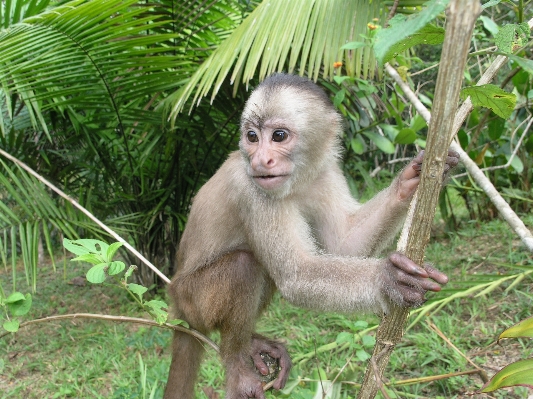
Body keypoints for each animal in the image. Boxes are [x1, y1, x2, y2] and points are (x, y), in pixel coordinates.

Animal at [164, 73, 460, 398]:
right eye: (252, 137)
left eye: (278, 136)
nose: (260, 160)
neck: (296, 181)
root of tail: (175, 302)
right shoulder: (253, 189)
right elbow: (297, 276)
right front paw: (388, 279)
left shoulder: (326, 173)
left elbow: (345, 245)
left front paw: (411, 179)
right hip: (193, 303)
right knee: (245, 265)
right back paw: (237, 364)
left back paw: (252, 344)